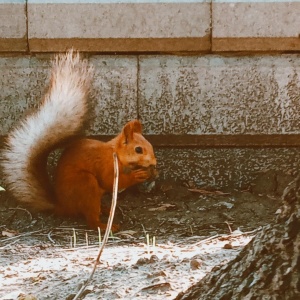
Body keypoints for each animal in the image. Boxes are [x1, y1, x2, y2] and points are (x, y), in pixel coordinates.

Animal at [1, 50, 157, 231]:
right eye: (138, 149)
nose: (154, 162)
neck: (116, 153)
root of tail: (63, 206)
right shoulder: (106, 165)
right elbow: (109, 181)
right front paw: (138, 176)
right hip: (86, 185)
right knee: (91, 219)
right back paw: (105, 225)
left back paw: (105, 209)